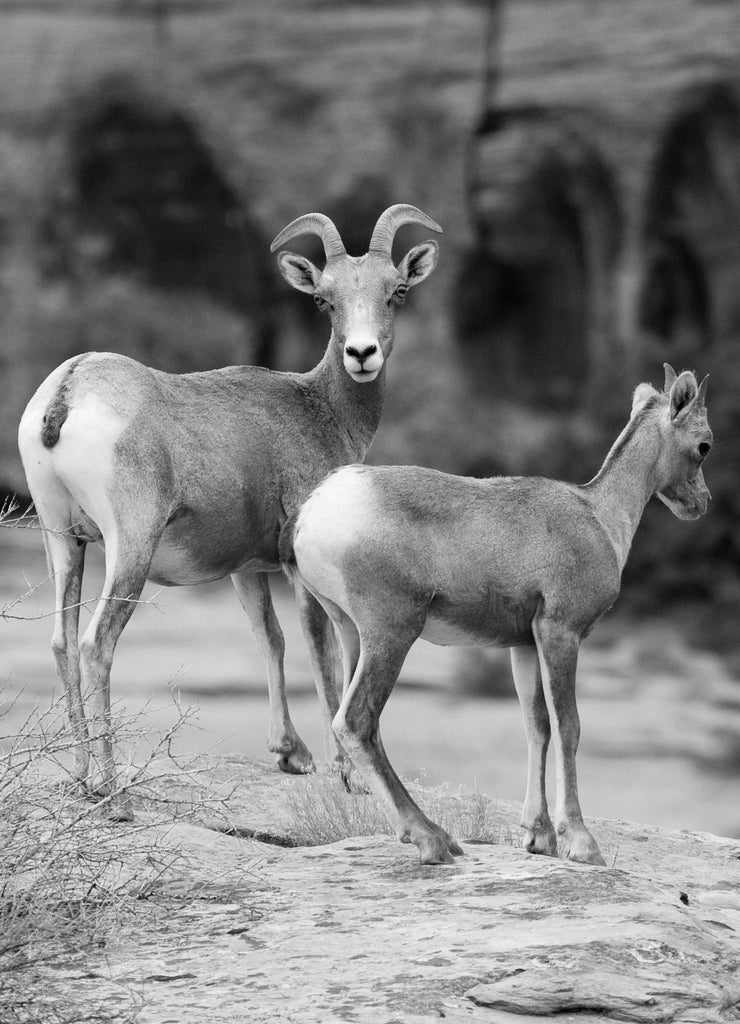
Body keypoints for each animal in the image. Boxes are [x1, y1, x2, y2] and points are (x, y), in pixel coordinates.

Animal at [18, 205, 441, 818]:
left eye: (397, 292)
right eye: (325, 300)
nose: (362, 355)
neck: (318, 411)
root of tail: (67, 393)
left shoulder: (247, 570)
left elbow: (271, 639)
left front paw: (291, 755)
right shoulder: (296, 565)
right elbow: (323, 648)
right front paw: (345, 775)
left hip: (62, 542)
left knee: (61, 641)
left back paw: (79, 779)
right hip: (129, 549)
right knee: (97, 643)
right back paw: (113, 793)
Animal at [281, 365, 712, 865]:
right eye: (704, 445)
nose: (702, 503)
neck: (601, 519)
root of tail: (315, 510)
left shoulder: (523, 644)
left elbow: (536, 726)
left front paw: (538, 837)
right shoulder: (560, 633)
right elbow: (569, 726)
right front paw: (582, 844)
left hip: (351, 632)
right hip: (392, 632)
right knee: (356, 722)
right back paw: (433, 839)